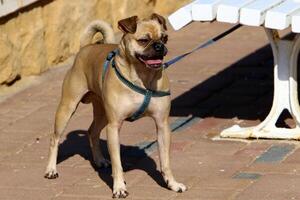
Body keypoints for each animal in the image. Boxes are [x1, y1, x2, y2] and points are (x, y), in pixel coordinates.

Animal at [43, 14, 186, 198]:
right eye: (143, 40)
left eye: (164, 38)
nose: (159, 46)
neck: (142, 77)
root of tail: (86, 47)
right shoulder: (113, 127)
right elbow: (118, 163)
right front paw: (119, 187)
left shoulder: (162, 125)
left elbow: (165, 161)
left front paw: (172, 184)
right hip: (67, 108)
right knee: (55, 139)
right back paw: (51, 170)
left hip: (102, 113)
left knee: (92, 131)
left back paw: (99, 160)